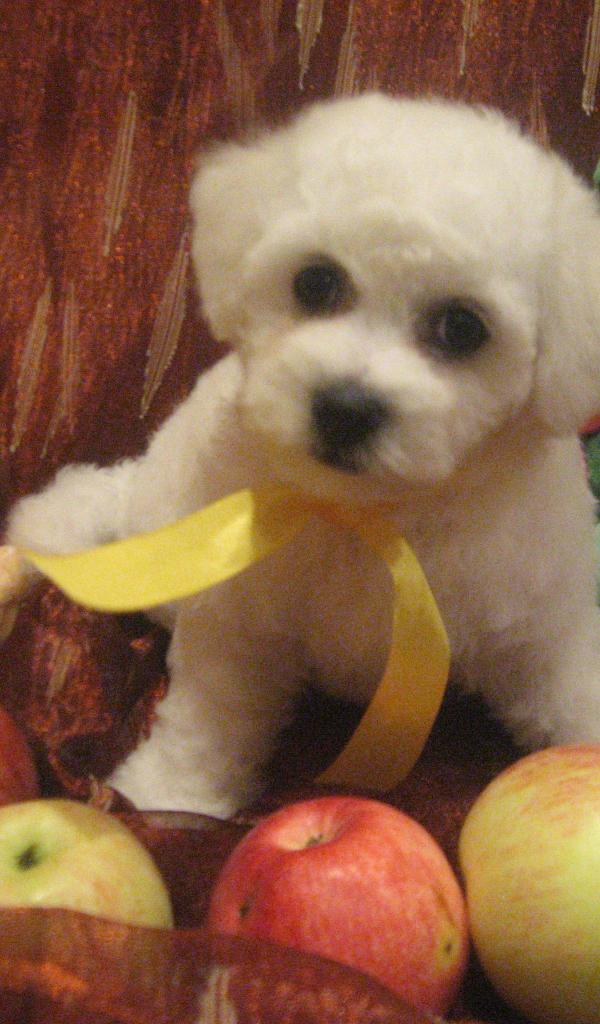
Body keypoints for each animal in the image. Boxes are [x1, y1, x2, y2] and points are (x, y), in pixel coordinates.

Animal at [2, 93, 600, 817]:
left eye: (462, 327)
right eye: (316, 282)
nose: (346, 406)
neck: (373, 513)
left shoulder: (541, 628)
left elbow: (573, 692)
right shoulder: (238, 618)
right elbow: (208, 718)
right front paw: (171, 796)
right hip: (169, 513)